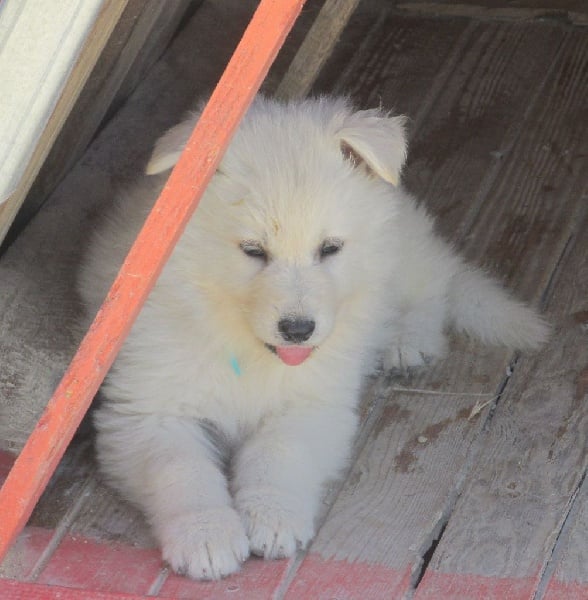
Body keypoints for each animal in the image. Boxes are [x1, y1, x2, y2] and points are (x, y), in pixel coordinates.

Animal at [78, 96, 548, 580]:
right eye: (253, 251)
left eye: (329, 248)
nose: (298, 330)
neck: (245, 348)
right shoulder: (148, 411)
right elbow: (181, 470)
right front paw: (206, 535)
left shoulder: (313, 404)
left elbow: (278, 453)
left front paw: (272, 517)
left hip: (400, 258)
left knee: (435, 283)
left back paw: (406, 339)